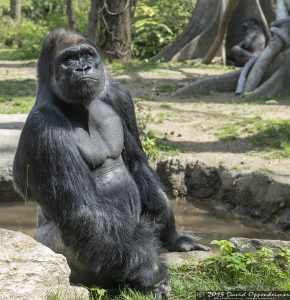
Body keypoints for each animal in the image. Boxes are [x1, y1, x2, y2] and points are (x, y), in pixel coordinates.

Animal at [12, 29, 210, 296]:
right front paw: (154, 275)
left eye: (87, 55)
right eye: (68, 60)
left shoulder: (118, 95)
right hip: (55, 254)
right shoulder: (44, 128)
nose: (83, 68)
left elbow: (138, 165)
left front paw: (173, 237)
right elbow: (84, 210)